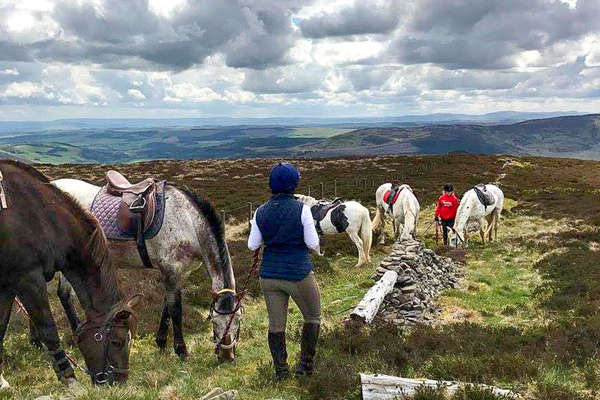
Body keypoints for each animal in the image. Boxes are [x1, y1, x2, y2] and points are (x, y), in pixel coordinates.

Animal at [0, 161, 139, 390]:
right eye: (117, 342)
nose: (120, 382)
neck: (39, 216)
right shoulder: (28, 280)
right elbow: (48, 329)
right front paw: (69, 377)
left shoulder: (7, 286)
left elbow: (1, 328)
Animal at [49, 177, 240, 360]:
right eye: (215, 322)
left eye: (237, 322)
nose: (227, 357)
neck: (188, 222)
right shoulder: (171, 271)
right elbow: (175, 309)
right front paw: (181, 350)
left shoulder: (180, 273)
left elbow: (167, 306)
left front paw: (161, 342)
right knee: (64, 295)